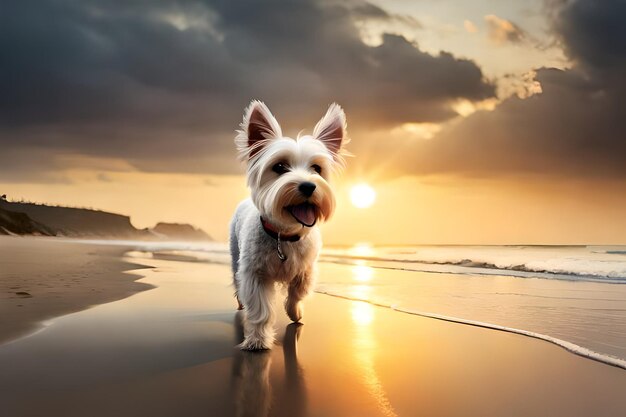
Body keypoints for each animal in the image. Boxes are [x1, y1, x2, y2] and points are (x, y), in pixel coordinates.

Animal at [229, 101, 346, 352]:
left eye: (316, 168)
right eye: (280, 166)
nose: (308, 186)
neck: (284, 235)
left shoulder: (305, 269)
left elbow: (297, 293)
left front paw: (295, 312)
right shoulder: (255, 274)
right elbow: (260, 308)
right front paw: (257, 339)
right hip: (235, 254)